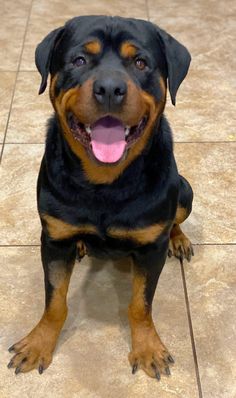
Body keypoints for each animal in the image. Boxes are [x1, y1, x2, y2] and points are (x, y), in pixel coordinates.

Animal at [7, 14, 194, 380]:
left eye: (140, 63)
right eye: (80, 60)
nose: (109, 88)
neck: (105, 182)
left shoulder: (151, 249)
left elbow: (140, 305)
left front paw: (147, 348)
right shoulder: (53, 240)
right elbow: (54, 301)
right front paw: (39, 343)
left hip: (184, 190)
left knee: (176, 218)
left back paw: (178, 239)